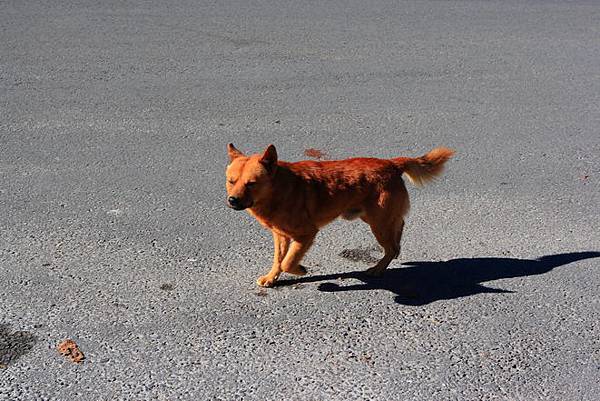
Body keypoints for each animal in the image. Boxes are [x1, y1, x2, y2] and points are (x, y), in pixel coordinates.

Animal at [227, 144, 452, 288]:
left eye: (251, 184)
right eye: (231, 181)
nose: (232, 200)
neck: (280, 189)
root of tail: (391, 163)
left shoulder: (306, 234)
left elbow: (287, 262)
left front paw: (300, 269)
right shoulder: (280, 236)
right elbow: (278, 260)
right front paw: (271, 278)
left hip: (378, 224)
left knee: (391, 247)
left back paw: (379, 268)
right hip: (374, 218)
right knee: (399, 227)